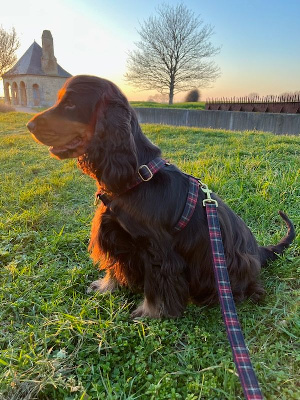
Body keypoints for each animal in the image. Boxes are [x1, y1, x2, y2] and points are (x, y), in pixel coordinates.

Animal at [26, 75, 296, 318]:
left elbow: (156, 286)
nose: (29, 126)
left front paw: (150, 314)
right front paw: (106, 287)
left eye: (71, 105)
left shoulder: (157, 250)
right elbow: (115, 267)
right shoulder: (115, 237)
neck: (137, 176)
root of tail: (258, 252)